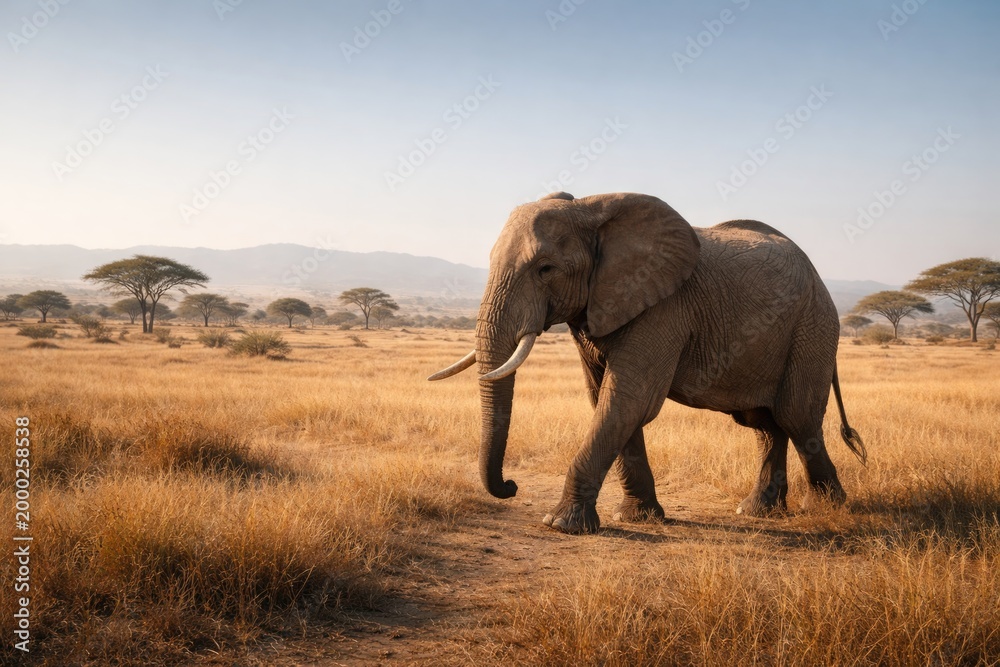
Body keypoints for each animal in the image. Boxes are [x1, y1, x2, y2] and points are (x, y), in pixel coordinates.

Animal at [428, 191, 866, 534]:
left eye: (545, 269)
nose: (512, 485)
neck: (590, 210)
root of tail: (819, 278)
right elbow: (606, 399)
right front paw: (638, 517)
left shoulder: (665, 307)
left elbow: (628, 399)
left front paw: (561, 524)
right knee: (763, 424)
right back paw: (757, 511)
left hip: (813, 327)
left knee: (797, 417)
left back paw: (827, 508)